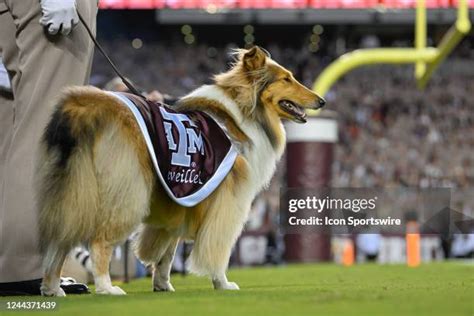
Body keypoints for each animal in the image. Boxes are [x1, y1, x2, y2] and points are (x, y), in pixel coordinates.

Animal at [37, 47, 326, 296]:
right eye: (286, 78)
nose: (322, 101)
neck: (240, 114)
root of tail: (84, 105)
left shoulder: (180, 200)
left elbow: (167, 252)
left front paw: (162, 285)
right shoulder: (227, 203)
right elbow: (217, 248)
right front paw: (222, 283)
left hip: (74, 188)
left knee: (61, 239)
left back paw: (52, 287)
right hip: (125, 194)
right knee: (99, 241)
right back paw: (106, 287)